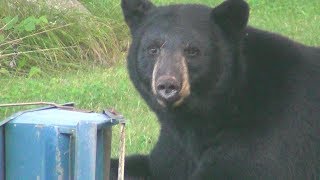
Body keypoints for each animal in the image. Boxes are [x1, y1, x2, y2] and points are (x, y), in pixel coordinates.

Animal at [110, 0, 320, 179]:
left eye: (192, 51)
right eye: (153, 49)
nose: (168, 85)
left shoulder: (269, 133)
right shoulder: (174, 145)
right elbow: (157, 164)